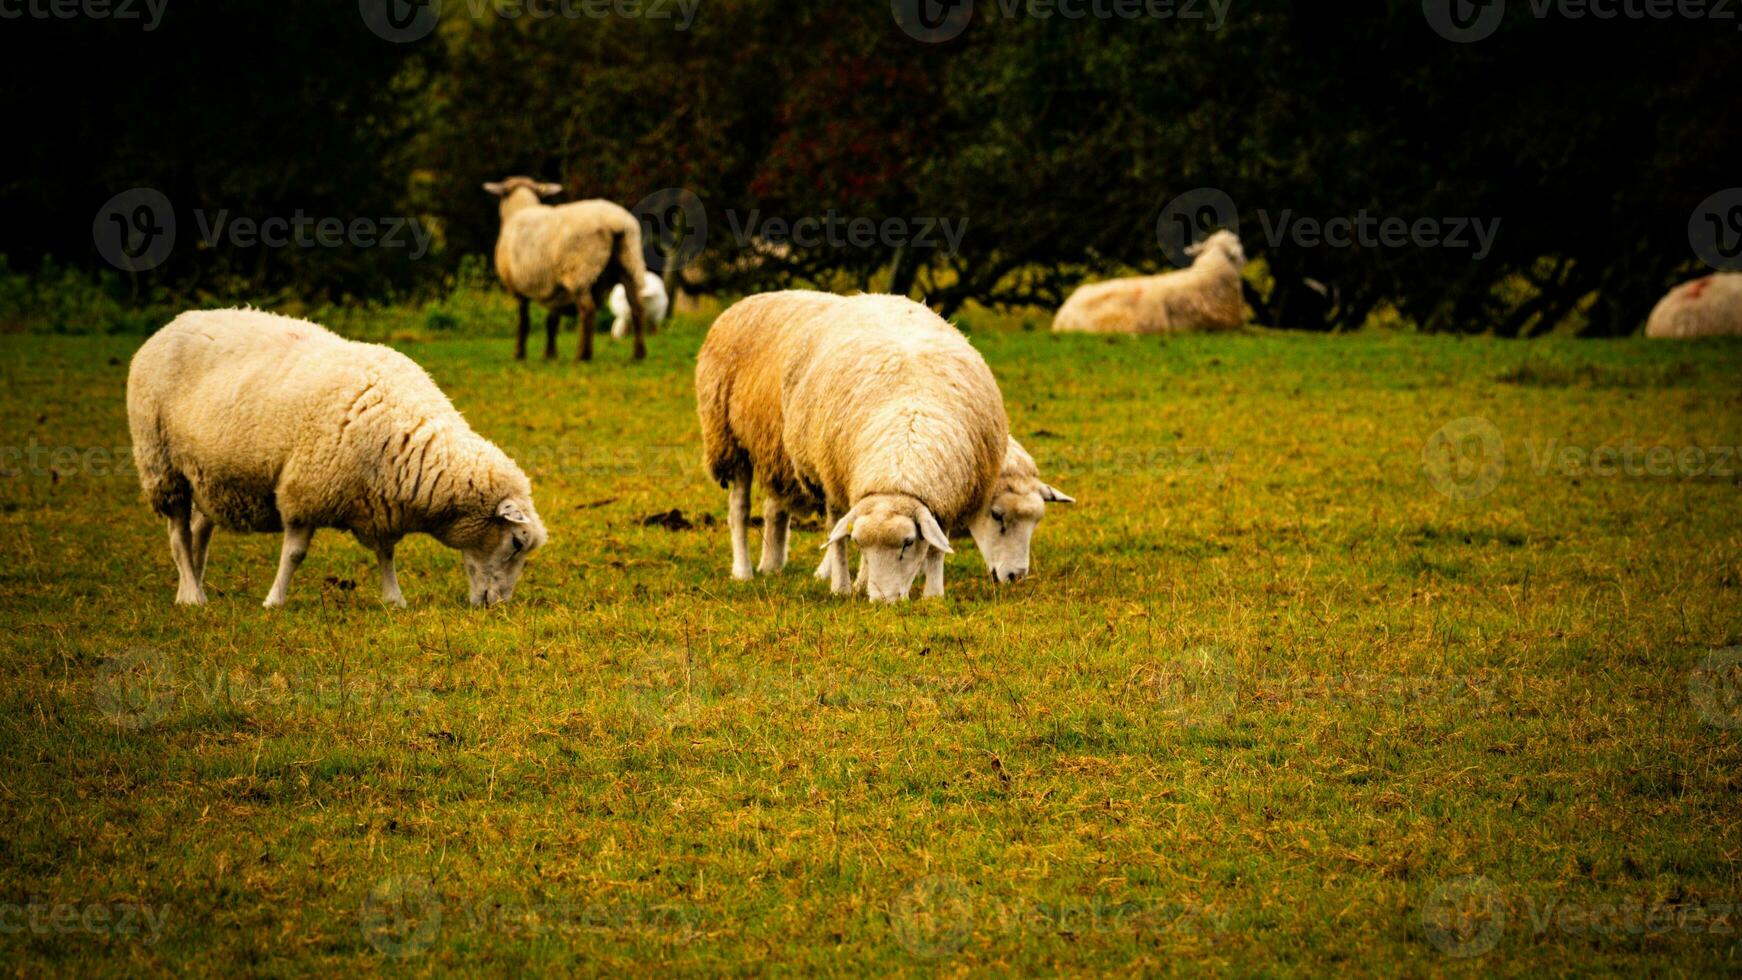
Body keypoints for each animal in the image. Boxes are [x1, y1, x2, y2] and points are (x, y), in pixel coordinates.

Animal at [127, 309, 546, 609]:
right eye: (515, 543)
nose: (498, 605)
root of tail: (172, 324)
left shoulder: (379, 503)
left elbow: (386, 553)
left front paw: (394, 599)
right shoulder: (304, 491)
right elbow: (295, 554)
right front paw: (274, 600)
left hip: (208, 475)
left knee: (199, 531)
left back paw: (192, 584)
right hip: (161, 465)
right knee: (178, 534)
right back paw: (192, 596)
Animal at [480, 176, 651, 360]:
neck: (520, 208)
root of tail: (615, 222)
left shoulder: (518, 289)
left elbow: (524, 321)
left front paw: (520, 353)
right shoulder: (556, 287)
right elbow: (552, 321)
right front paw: (550, 354)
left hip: (579, 270)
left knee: (588, 310)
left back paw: (583, 355)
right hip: (629, 262)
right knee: (637, 307)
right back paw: (638, 354)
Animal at [693, 287, 1010, 602]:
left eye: (908, 543)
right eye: (860, 543)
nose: (882, 600)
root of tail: (751, 299)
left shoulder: (945, 497)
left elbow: (936, 547)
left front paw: (933, 594)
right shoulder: (831, 477)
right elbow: (837, 534)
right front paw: (842, 587)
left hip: (774, 452)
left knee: (775, 507)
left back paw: (771, 566)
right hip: (729, 440)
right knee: (739, 509)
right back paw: (743, 570)